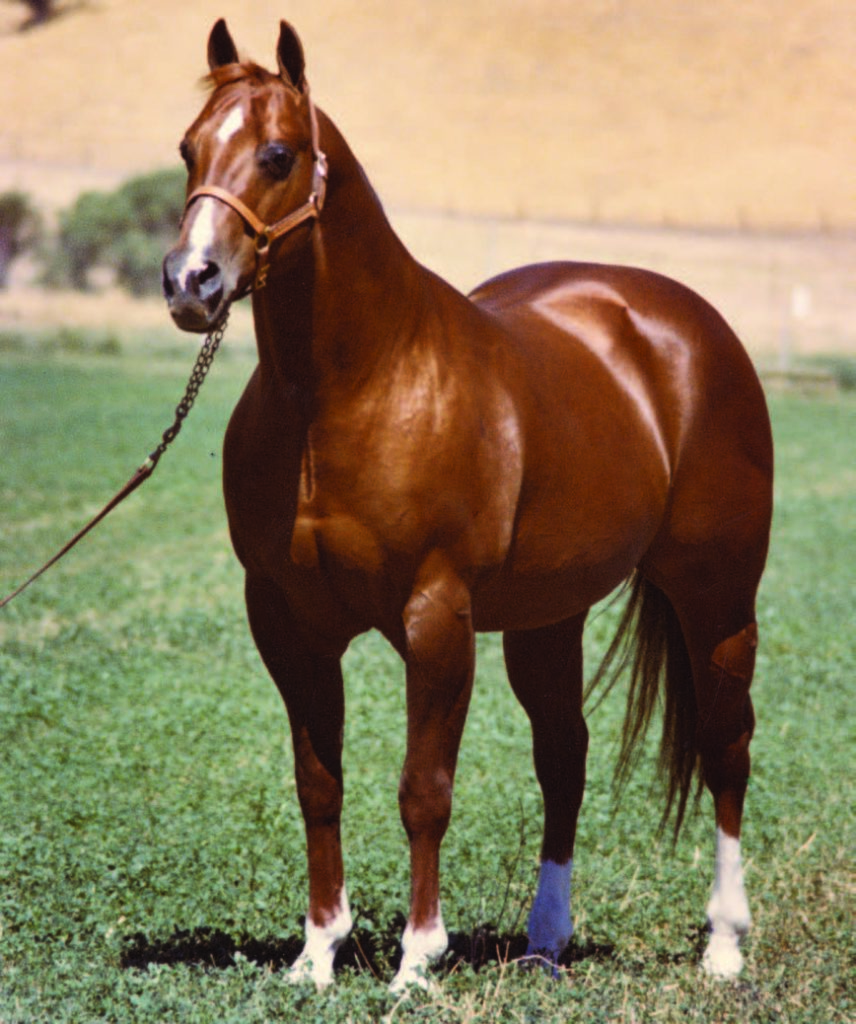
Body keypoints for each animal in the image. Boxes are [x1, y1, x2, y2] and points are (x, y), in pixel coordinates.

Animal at [162, 19, 773, 994]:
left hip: (716, 597)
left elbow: (424, 790)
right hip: (548, 618)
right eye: (188, 148)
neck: (351, 387)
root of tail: (687, 326)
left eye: (277, 154)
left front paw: (418, 959)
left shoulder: (436, 617)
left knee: (727, 746)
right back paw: (545, 941)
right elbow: (318, 783)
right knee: (564, 755)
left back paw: (723, 945)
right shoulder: (287, 621)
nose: (192, 281)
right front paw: (317, 952)